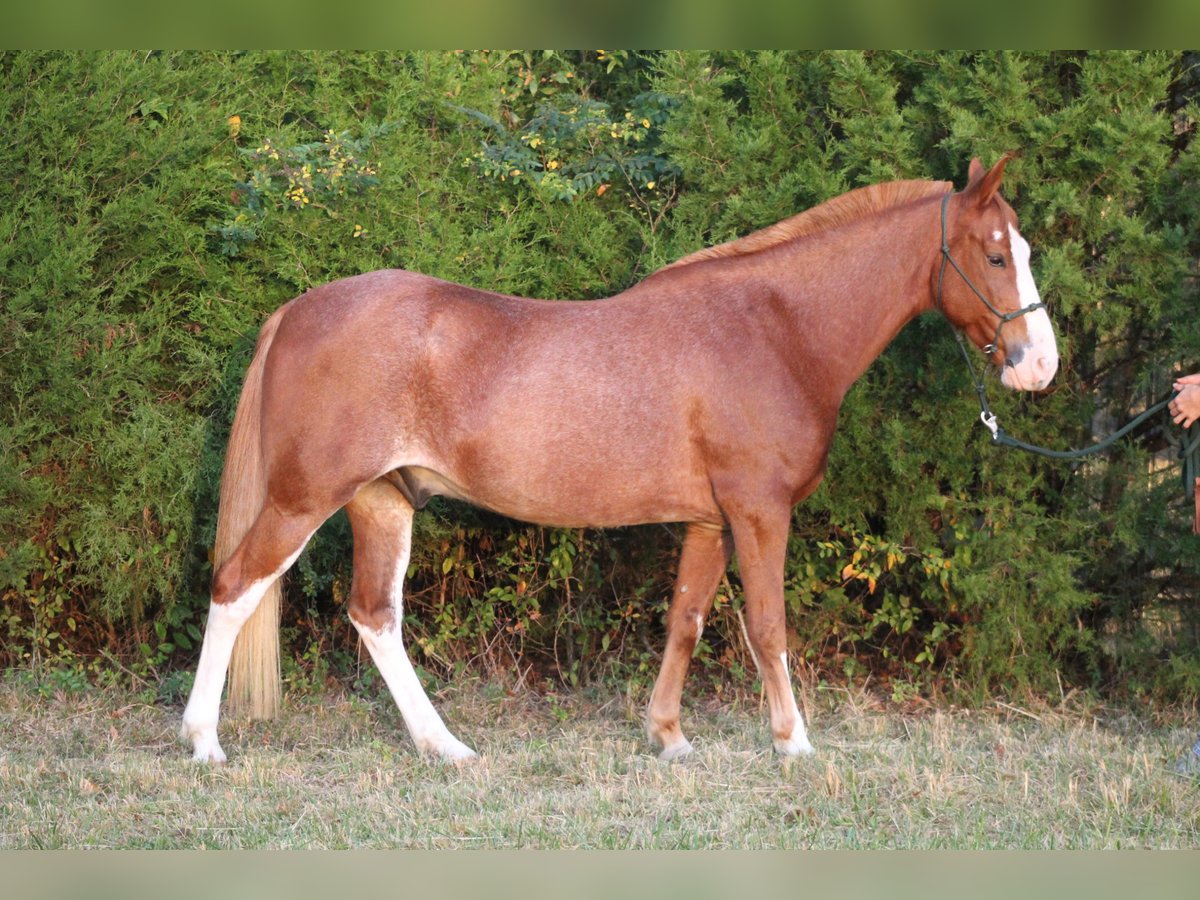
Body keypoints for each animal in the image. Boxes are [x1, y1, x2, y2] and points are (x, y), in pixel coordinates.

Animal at [177, 153, 1060, 763]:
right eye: (993, 253)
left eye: (1019, 249)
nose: (1039, 365)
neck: (774, 327)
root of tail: (297, 309)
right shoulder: (758, 511)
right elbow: (767, 624)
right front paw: (794, 744)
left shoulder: (709, 521)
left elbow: (686, 622)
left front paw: (668, 737)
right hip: (304, 497)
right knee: (234, 587)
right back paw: (204, 743)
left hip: (383, 500)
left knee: (375, 617)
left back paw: (446, 749)